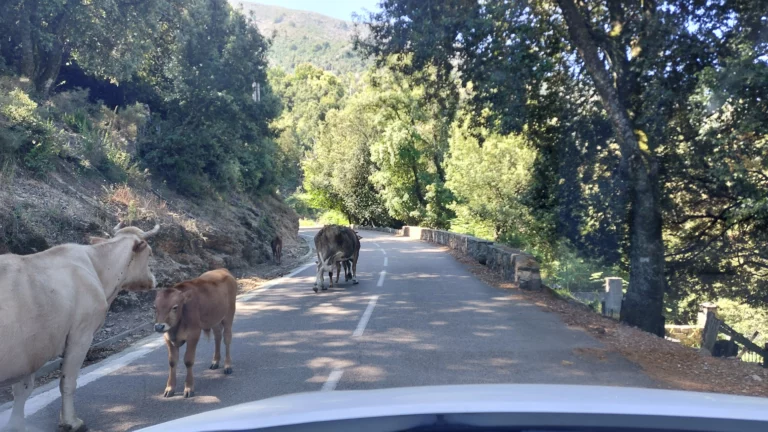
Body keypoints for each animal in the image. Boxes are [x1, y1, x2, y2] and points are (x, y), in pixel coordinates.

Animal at [0, 222, 159, 432]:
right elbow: (67, 381)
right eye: (150, 253)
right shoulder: (81, 334)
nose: (155, 280)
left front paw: (15, 425)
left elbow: (22, 390)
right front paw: (71, 422)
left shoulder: (32, 351)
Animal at [153, 268, 237, 398]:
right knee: (217, 336)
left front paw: (188, 388)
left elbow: (188, 361)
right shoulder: (168, 338)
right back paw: (215, 362)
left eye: (175, 307)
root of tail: (223, 270)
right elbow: (172, 362)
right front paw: (169, 388)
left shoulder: (193, 335)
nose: (159, 326)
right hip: (214, 320)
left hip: (229, 315)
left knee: (227, 338)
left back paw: (227, 366)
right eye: (154, 307)